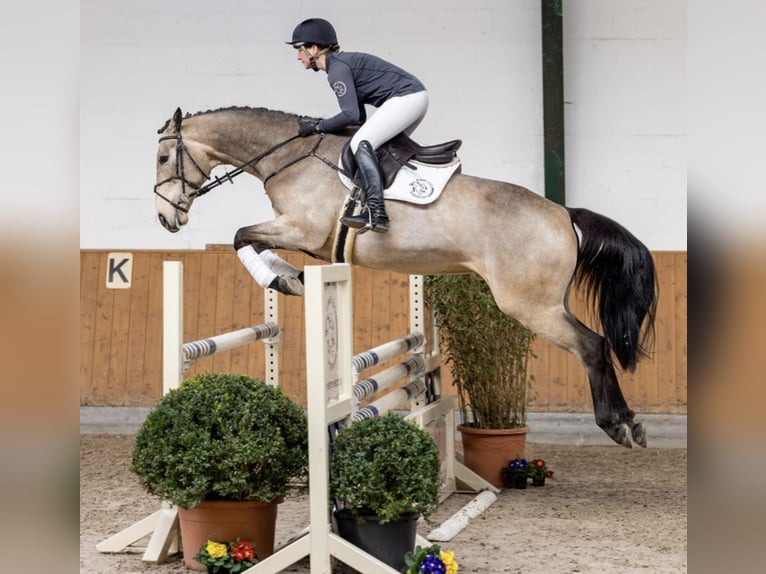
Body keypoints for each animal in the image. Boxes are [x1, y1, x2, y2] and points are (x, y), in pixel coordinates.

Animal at [156, 107, 660, 450]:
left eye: (163, 157)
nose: (166, 219)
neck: (292, 156)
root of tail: (563, 213)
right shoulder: (303, 239)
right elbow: (251, 239)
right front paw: (288, 277)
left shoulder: (302, 230)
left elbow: (242, 235)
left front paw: (283, 280)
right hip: (547, 302)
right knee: (597, 346)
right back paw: (630, 422)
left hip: (530, 305)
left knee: (593, 346)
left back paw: (618, 425)